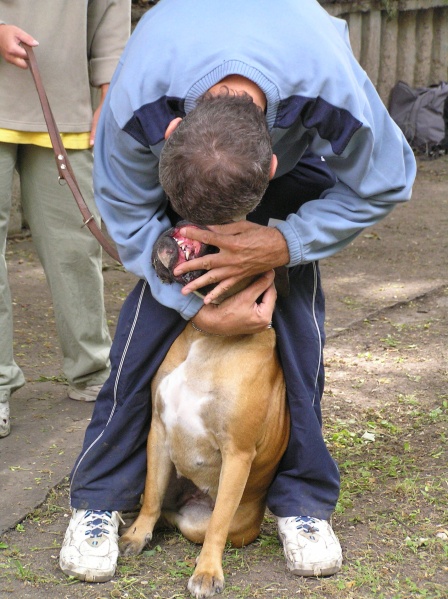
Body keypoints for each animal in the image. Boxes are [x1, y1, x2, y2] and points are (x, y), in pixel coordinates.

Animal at [117, 225, 288, 599]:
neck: (209, 335)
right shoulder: (159, 430)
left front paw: (208, 571)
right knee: (159, 503)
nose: (180, 226)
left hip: (218, 516)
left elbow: (217, 525)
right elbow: (152, 495)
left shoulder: (237, 454)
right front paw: (137, 534)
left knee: (195, 524)